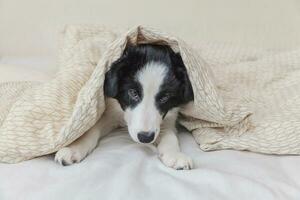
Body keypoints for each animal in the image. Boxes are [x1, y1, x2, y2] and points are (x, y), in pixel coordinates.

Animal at [54, 44, 195, 170]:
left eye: (165, 97)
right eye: (133, 93)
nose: (145, 138)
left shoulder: (168, 118)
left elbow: (170, 136)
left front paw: (175, 155)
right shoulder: (109, 111)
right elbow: (91, 130)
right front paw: (74, 148)